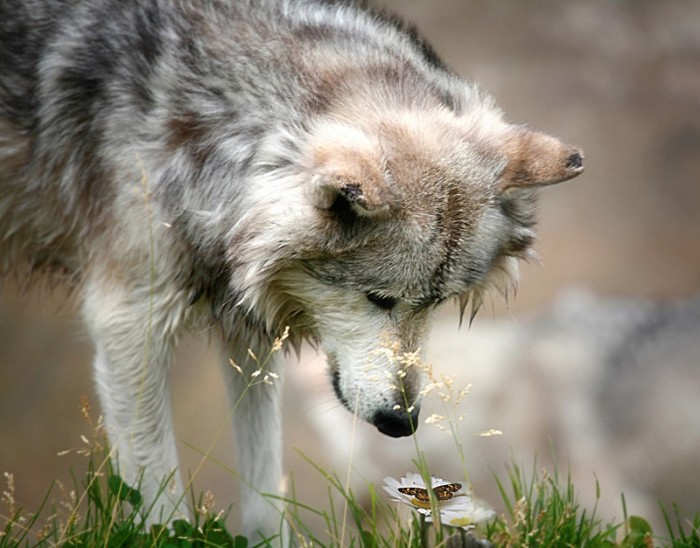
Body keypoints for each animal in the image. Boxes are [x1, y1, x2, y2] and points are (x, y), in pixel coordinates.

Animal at [0, 0, 584, 540]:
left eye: (435, 302)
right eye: (379, 298)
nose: (403, 423)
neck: (217, 134)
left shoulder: (250, 333)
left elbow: (264, 491)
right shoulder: (128, 325)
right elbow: (161, 504)